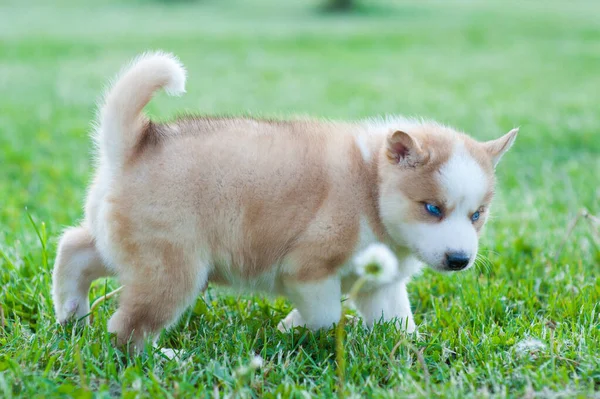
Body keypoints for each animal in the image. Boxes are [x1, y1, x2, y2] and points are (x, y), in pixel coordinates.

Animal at [52, 53, 516, 350]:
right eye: (433, 208)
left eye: (477, 215)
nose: (460, 260)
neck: (370, 185)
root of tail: (135, 143)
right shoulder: (307, 268)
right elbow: (325, 314)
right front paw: (296, 327)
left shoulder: (381, 286)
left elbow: (399, 321)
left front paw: (413, 351)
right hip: (173, 271)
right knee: (126, 327)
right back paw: (157, 357)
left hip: (125, 247)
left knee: (73, 248)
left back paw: (71, 313)